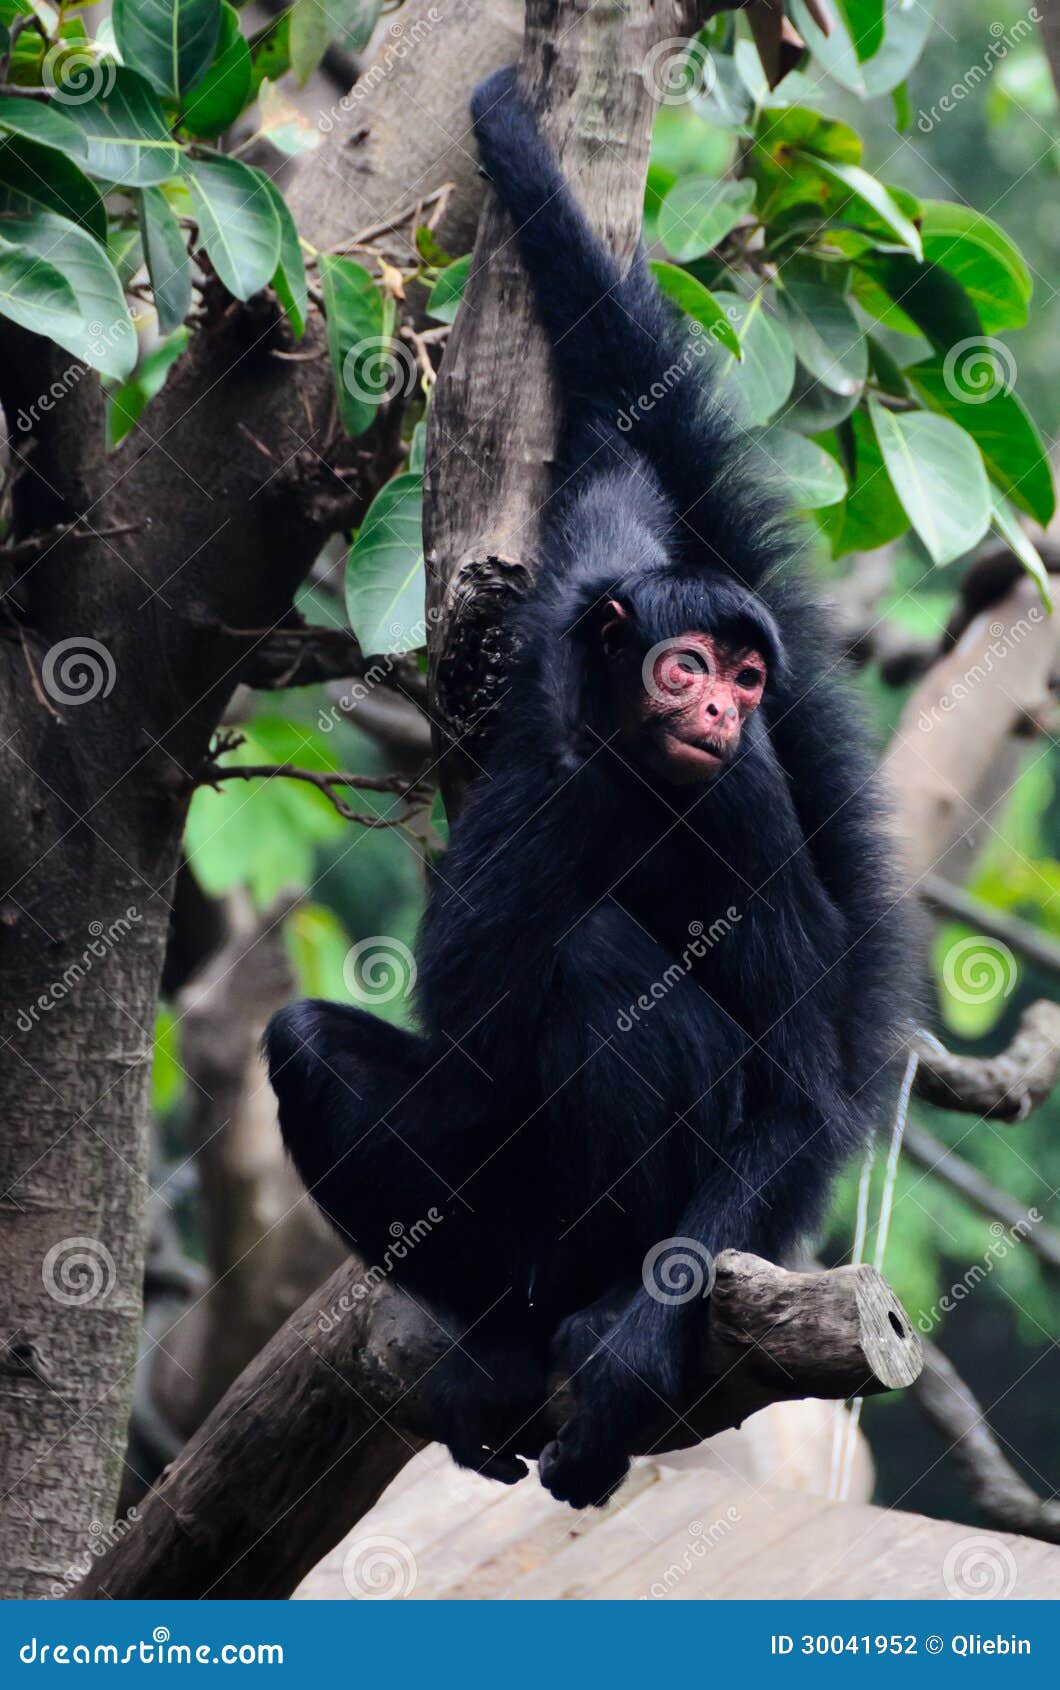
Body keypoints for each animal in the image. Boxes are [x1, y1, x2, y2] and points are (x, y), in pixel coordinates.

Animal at [268, 72, 906, 1514]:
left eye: (744, 675)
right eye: (687, 666)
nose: (723, 708)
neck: (602, 754)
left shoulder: (749, 796)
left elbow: (799, 1095)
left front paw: (621, 1367)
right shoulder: (573, 596)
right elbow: (618, 431)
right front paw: (520, 150)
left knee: (603, 958)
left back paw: (601, 1309)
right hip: (493, 1192)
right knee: (306, 1045)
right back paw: (503, 1337)